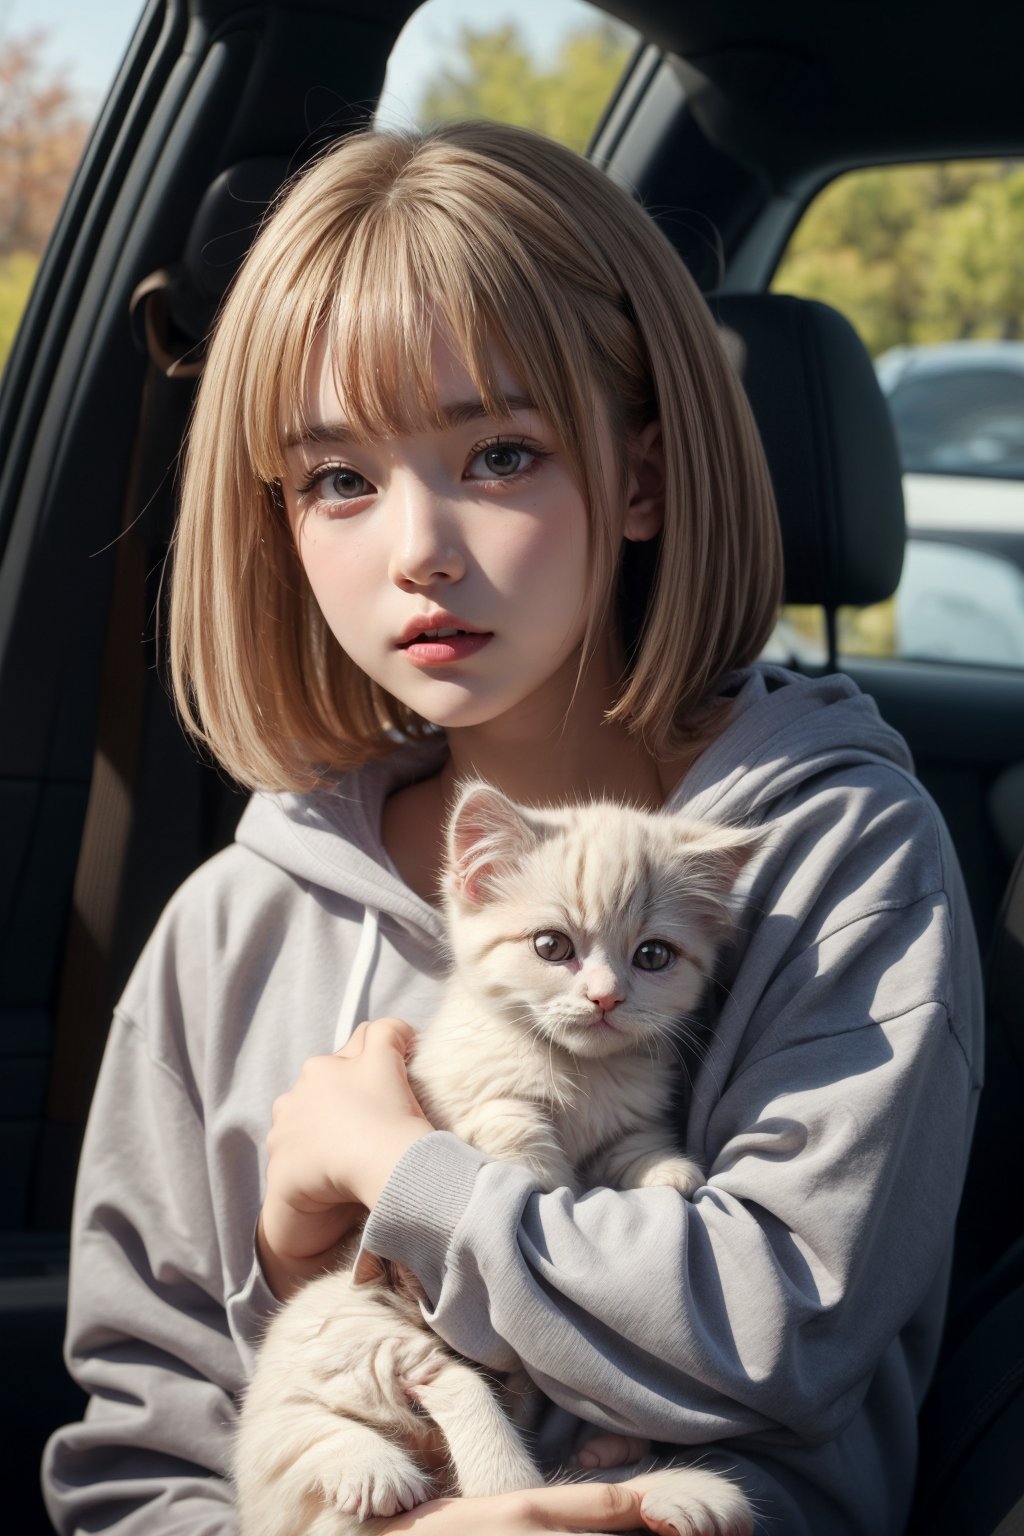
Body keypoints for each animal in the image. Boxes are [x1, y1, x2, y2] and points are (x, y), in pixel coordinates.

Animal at [234, 786, 761, 1529]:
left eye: (654, 956)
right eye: (551, 946)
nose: (606, 997)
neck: (580, 1076)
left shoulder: (630, 1111)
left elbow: (632, 1147)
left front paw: (667, 1171)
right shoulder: (473, 1095)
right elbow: (517, 1135)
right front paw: (544, 1179)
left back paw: (621, 1454)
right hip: (358, 1332)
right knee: (329, 1422)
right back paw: (390, 1470)